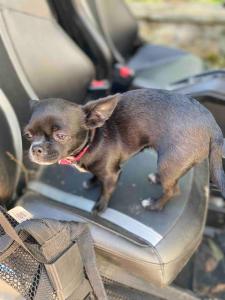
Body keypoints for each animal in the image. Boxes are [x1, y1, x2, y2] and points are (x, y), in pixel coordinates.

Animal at [24, 88, 225, 213]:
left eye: (61, 136)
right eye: (28, 135)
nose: (37, 149)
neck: (93, 140)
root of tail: (213, 127)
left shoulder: (112, 174)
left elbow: (106, 191)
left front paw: (100, 207)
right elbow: (96, 176)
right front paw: (92, 181)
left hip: (169, 162)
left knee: (173, 191)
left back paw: (154, 205)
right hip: (174, 164)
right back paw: (156, 178)